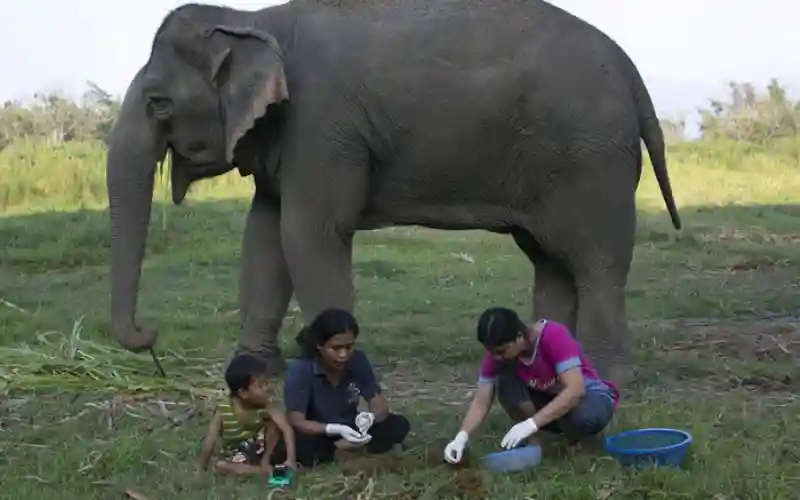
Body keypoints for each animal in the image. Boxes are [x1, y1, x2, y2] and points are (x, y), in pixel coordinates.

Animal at [108, 0, 680, 386]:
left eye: (159, 104)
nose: (149, 335)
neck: (258, 21)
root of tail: (632, 71)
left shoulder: (322, 124)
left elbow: (310, 233)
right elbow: (265, 237)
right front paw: (252, 370)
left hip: (590, 156)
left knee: (595, 261)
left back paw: (607, 376)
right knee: (551, 258)